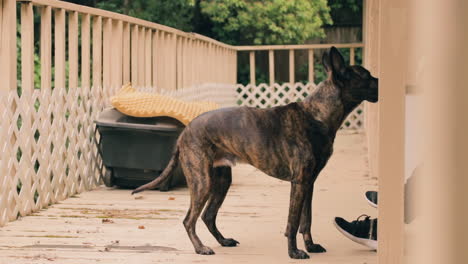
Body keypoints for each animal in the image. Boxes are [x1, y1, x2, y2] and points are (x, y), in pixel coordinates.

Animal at [131, 46, 376, 258]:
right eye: (366, 75)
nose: (380, 81)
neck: (316, 115)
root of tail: (185, 132)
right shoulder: (299, 183)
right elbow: (293, 222)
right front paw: (294, 252)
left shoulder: (309, 183)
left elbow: (306, 220)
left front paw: (311, 246)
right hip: (203, 182)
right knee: (189, 220)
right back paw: (201, 248)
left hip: (221, 181)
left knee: (208, 216)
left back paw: (223, 241)